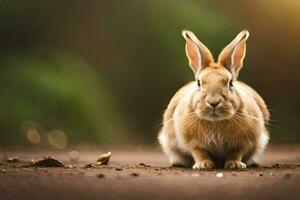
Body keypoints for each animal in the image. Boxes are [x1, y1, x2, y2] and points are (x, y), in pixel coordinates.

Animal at [158, 29, 270, 169]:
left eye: (230, 83)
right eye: (199, 83)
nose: (213, 102)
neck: (215, 122)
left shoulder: (243, 142)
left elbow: (236, 153)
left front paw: (235, 164)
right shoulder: (194, 143)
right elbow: (200, 152)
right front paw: (203, 165)